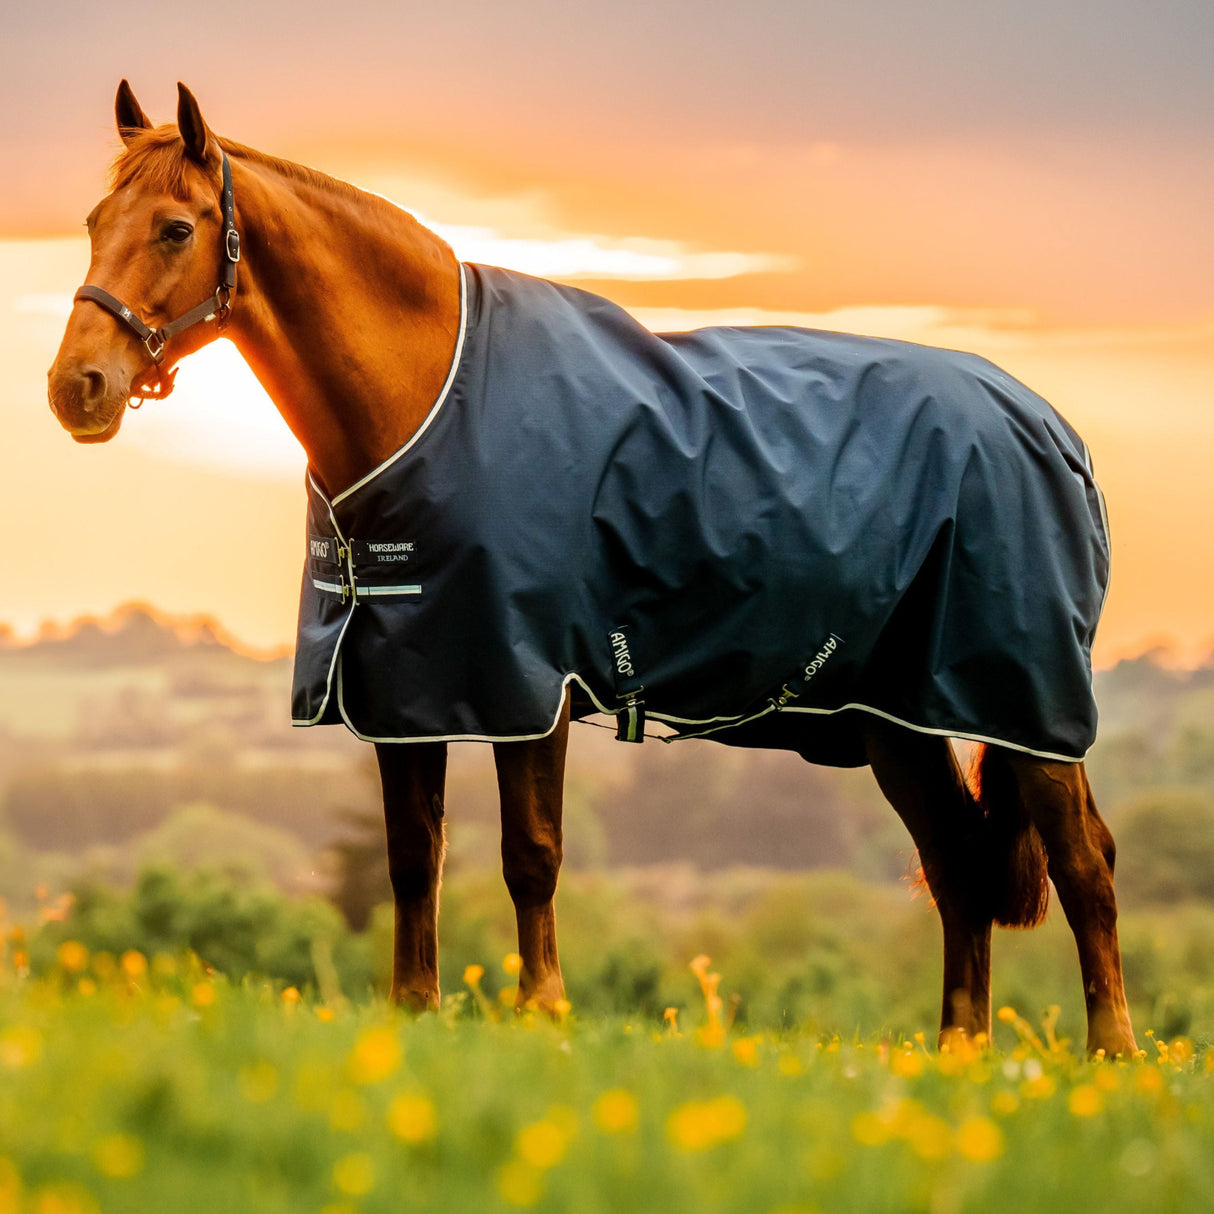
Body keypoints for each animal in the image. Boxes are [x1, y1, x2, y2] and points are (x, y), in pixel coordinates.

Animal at [47, 81, 1137, 1056]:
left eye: (176, 228)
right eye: (96, 219)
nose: (76, 387)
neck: (431, 399)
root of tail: (1051, 429)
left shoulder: (526, 683)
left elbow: (530, 856)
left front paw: (544, 1013)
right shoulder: (406, 689)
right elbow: (413, 859)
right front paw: (414, 1011)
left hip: (1027, 703)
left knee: (1084, 863)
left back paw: (1113, 1056)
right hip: (894, 719)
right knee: (956, 864)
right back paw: (959, 1053)